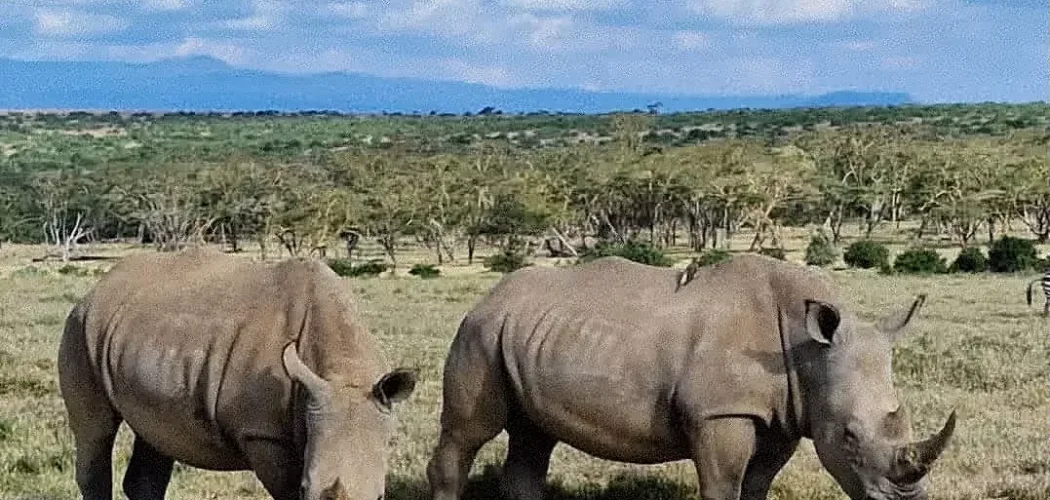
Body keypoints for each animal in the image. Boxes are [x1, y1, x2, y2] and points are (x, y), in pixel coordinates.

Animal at [58, 248, 418, 500]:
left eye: (381, 496)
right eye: (306, 490)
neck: (343, 373)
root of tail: (96, 289)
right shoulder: (261, 433)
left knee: (155, 434)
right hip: (80, 328)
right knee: (96, 431)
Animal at [427, 254, 956, 500]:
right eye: (848, 437)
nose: (905, 499)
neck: (805, 352)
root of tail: (489, 297)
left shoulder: (784, 415)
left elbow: (756, 486)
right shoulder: (719, 413)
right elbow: (724, 485)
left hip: (522, 334)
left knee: (533, 436)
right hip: (479, 332)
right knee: (470, 431)